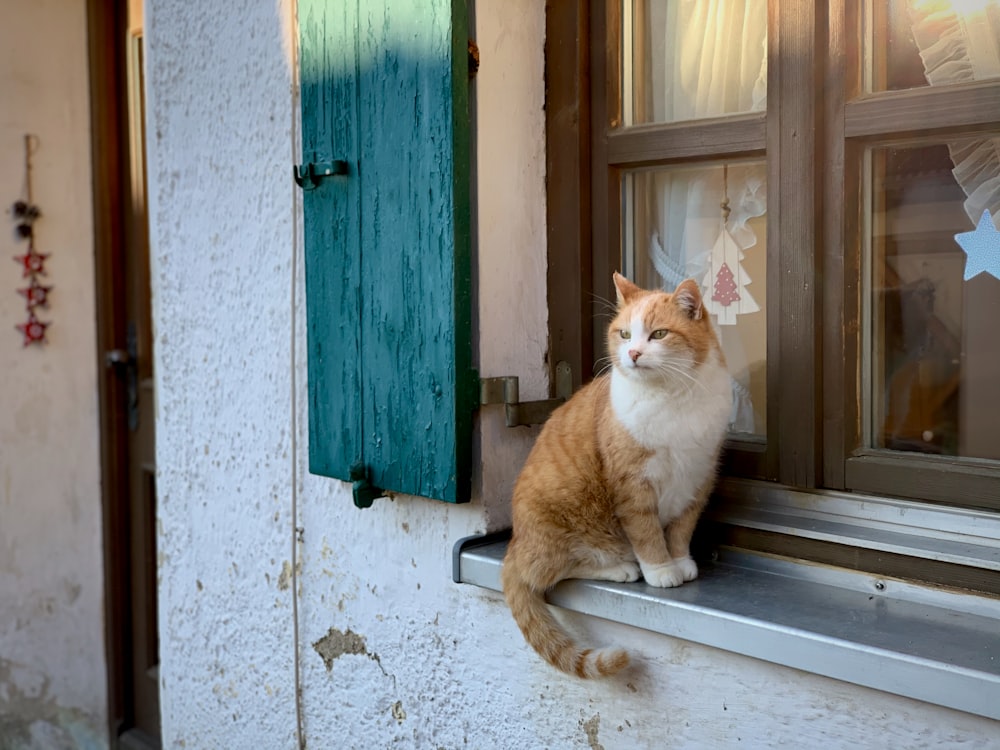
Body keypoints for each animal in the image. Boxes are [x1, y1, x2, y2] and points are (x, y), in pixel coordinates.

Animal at [504, 274, 732, 680]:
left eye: (659, 334)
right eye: (624, 334)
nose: (634, 354)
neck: (672, 398)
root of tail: (514, 545)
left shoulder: (698, 477)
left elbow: (682, 528)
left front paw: (680, 560)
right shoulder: (632, 485)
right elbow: (647, 533)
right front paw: (661, 569)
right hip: (561, 523)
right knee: (545, 573)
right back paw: (620, 568)